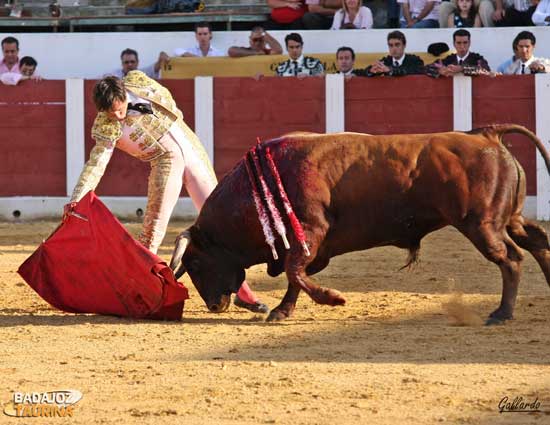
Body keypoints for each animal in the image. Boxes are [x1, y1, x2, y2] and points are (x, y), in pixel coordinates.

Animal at [170, 124, 548, 322]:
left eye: (196, 264)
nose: (214, 305)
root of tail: (486, 136)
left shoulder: (311, 231)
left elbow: (295, 272)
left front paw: (333, 299)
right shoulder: (309, 244)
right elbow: (295, 276)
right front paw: (281, 311)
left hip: (481, 224)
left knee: (511, 258)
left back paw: (501, 313)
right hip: (506, 219)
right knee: (537, 240)